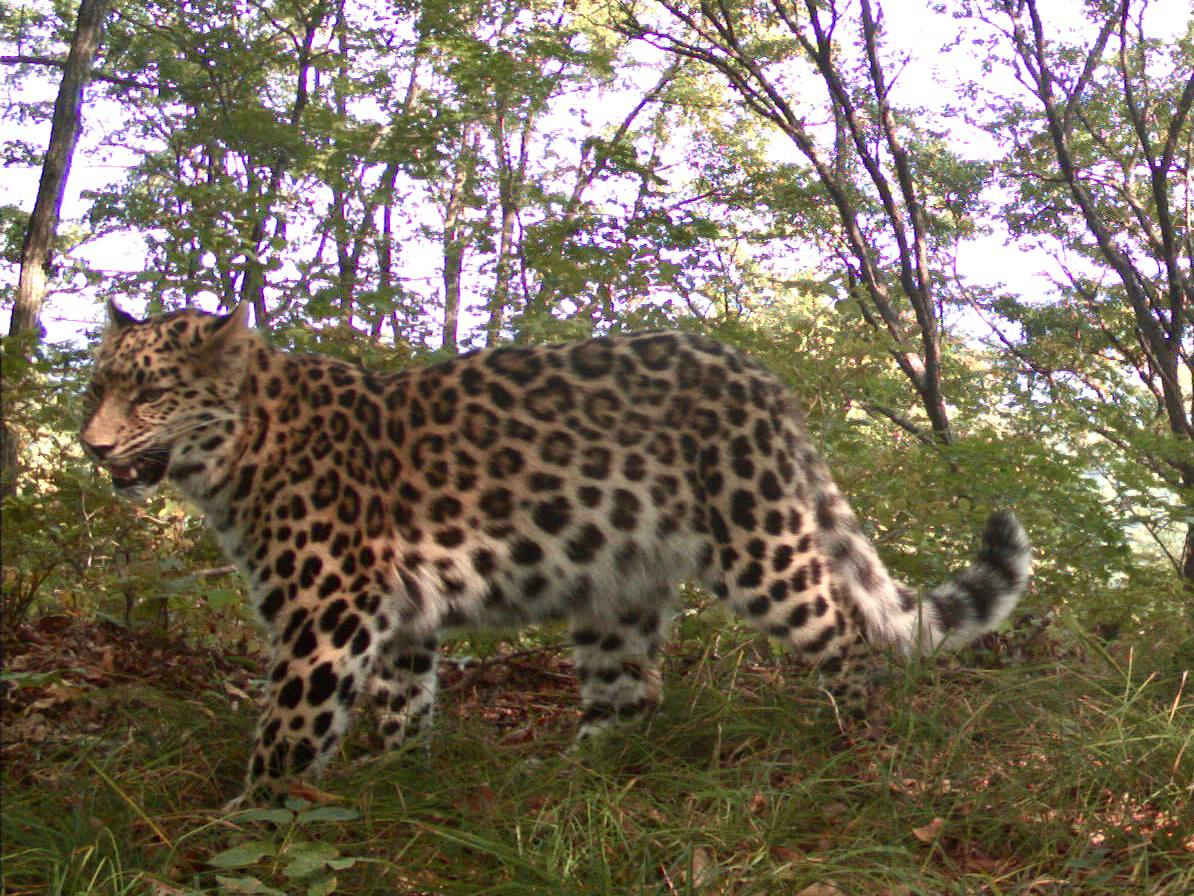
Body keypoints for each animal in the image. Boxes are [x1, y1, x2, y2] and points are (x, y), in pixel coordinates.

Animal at [79, 305, 1031, 812]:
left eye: (149, 392)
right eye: (98, 386)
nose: (90, 446)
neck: (237, 457)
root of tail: (761, 376)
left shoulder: (328, 613)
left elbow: (287, 730)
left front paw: (244, 819)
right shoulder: (394, 614)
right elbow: (403, 705)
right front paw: (398, 780)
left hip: (757, 540)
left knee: (842, 633)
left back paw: (855, 746)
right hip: (619, 581)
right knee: (631, 694)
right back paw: (568, 778)